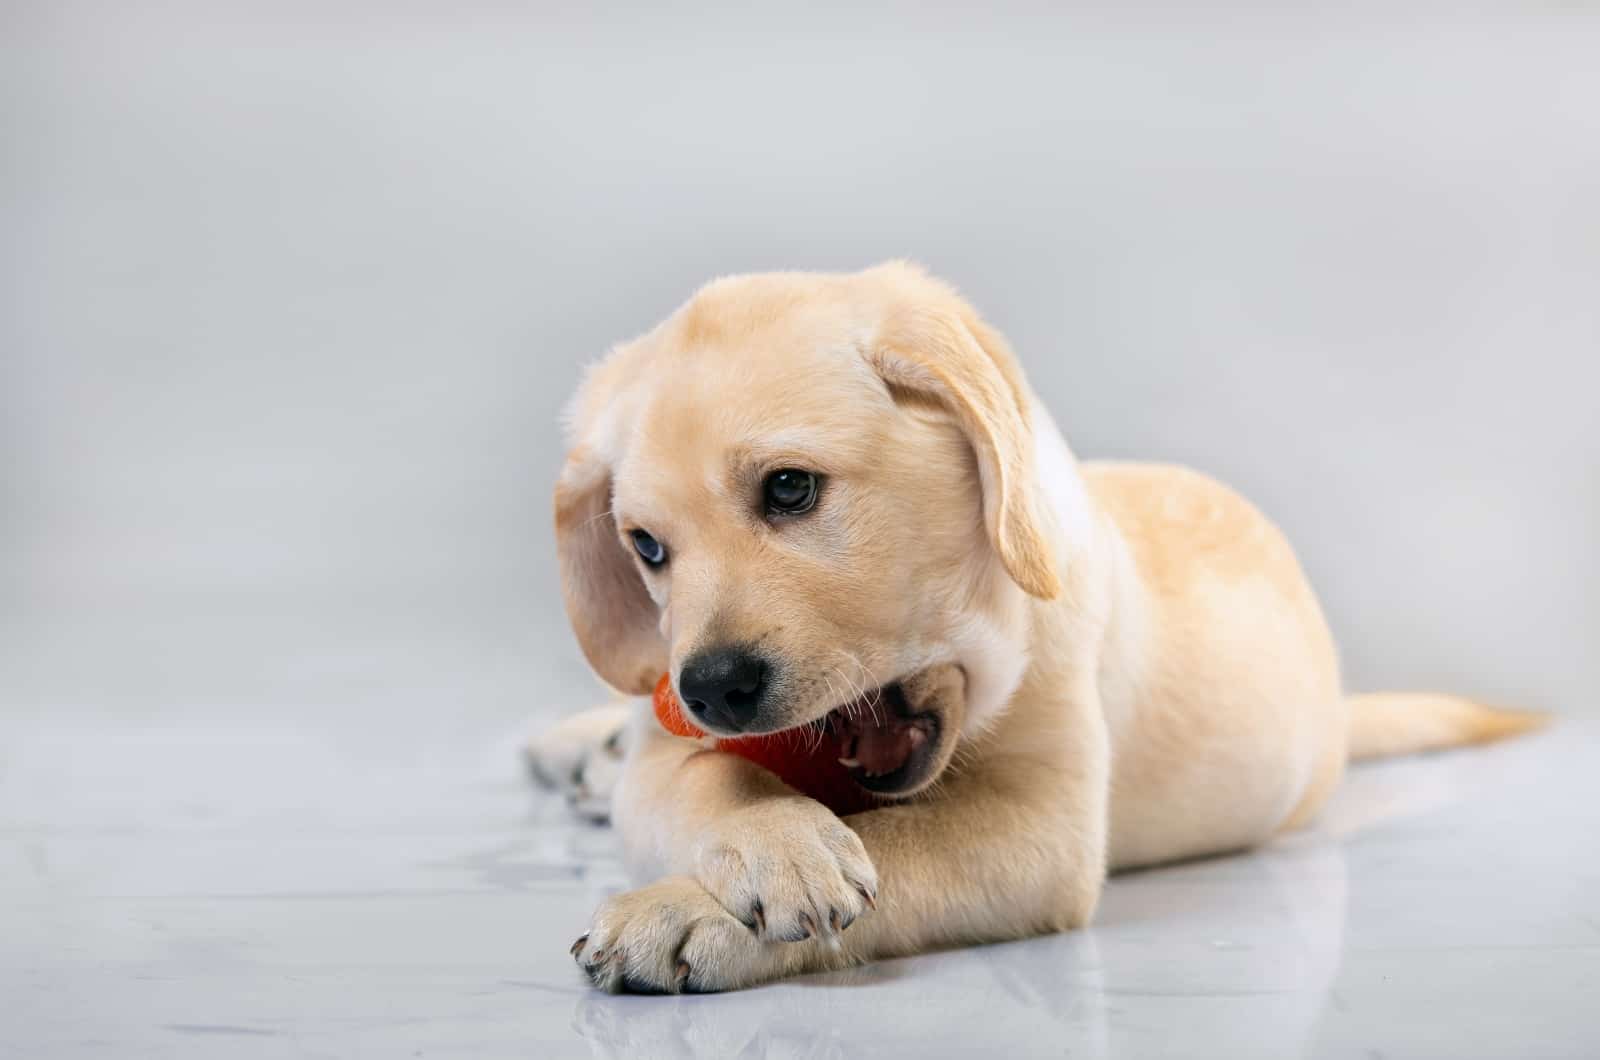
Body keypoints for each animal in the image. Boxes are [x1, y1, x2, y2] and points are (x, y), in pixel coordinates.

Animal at [534, 260, 1536, 992]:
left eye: (789, 488)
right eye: (647, 547)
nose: (708, 690)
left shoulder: (1042, 831)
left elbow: (906, 848)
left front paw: (689, 911)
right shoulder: (672, 743)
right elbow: (704, 779)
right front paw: (776, 842)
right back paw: (579, 748)